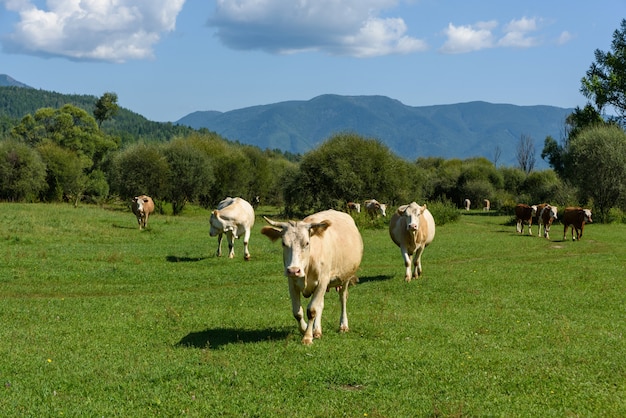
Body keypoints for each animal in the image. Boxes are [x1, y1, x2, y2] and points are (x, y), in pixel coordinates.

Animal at [260, 211, 364, 344]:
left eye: (307, 243)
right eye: (283, 243)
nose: (294, 270)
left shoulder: (322, 281)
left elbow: (312, 310)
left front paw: (307, 337)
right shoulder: (292, 283)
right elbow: (298, 312)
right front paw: (305, 329)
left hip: (346, 277)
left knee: (343, 298)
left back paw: (343, 325)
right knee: (321, 305)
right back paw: (317, 330)